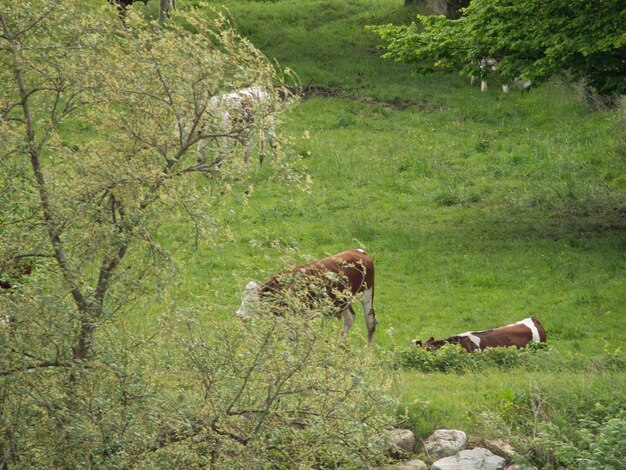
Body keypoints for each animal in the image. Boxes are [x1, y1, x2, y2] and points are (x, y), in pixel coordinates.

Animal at [235, 250, 376, 346]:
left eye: (252, 302)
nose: (239, 315)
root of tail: (359, 252)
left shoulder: (303, 317)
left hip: (367, 296)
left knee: (371, 323)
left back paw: (369, 352)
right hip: (342, 302)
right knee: (349, 318)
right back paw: (339, 344)